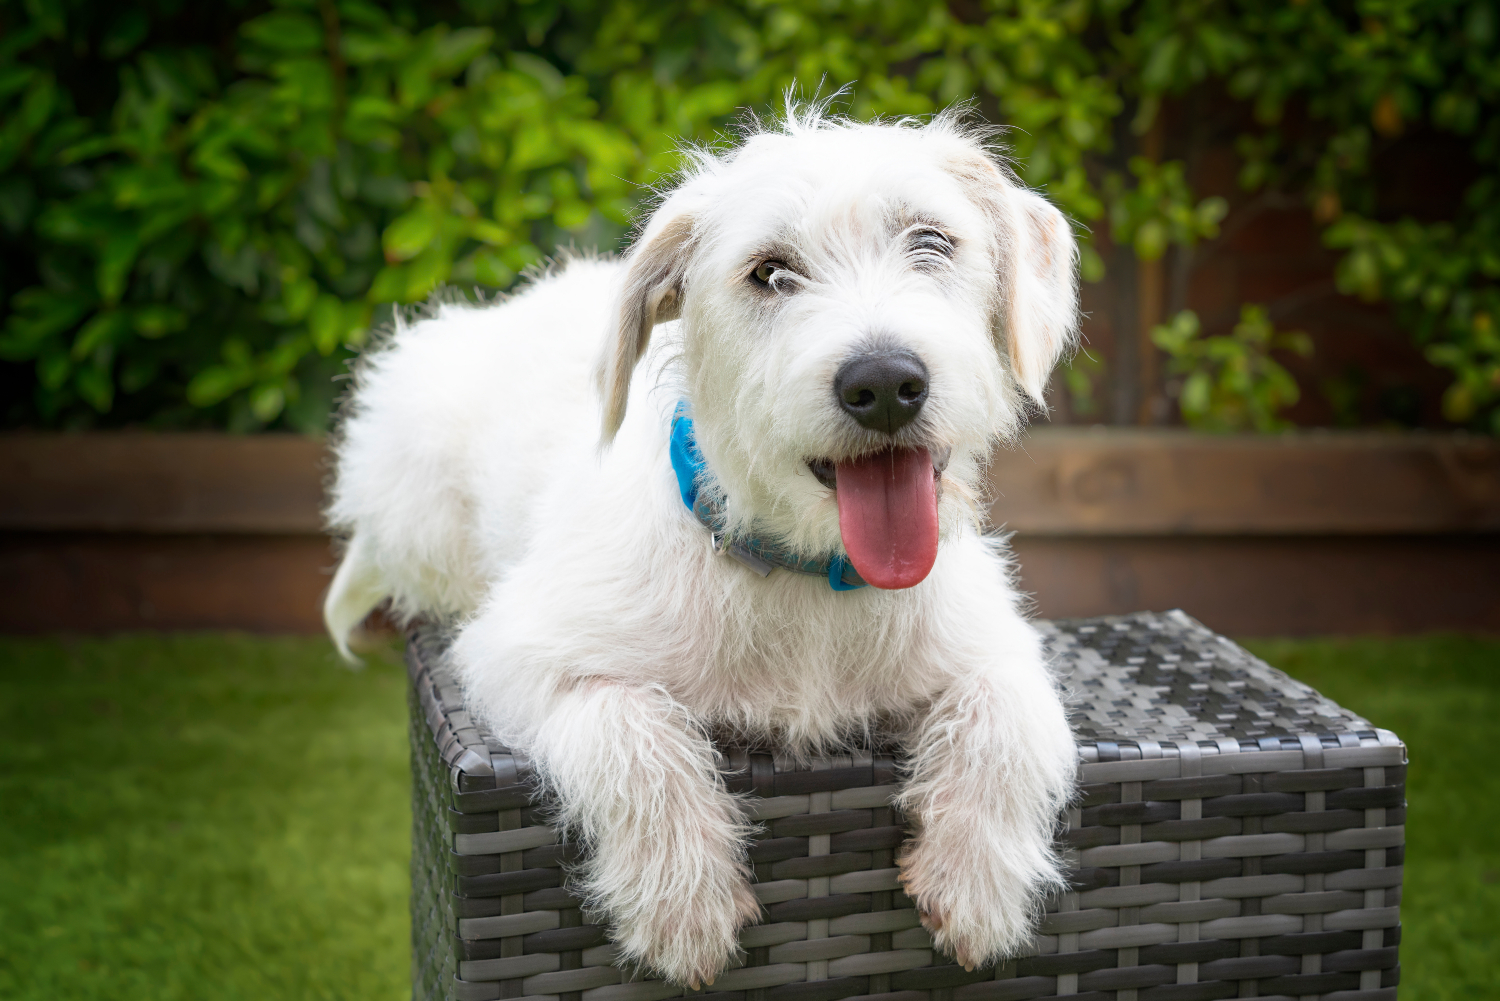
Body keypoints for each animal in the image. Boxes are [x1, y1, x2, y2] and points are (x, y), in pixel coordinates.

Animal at [325, 108, 1080, 984]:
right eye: (770, 272)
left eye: (931, 241)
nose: (886, 383)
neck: (807, 574)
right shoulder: (516, 651)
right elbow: (631, 725)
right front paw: (682, 904)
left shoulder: (995, 643)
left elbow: (1009, 714)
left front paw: (977, 881)